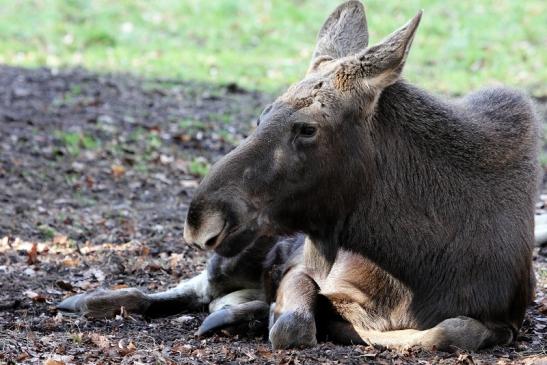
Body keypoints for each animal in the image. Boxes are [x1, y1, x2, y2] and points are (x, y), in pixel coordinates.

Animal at [58, 0, 540, 352]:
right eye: (261, 114)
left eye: (307, 128)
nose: (201, 219)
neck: (415, 263)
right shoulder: (300, 267)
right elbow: (294, 323)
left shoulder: (506, 317)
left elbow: (450, 330)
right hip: (242, 252)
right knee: (189, 288)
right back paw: (90, 299)